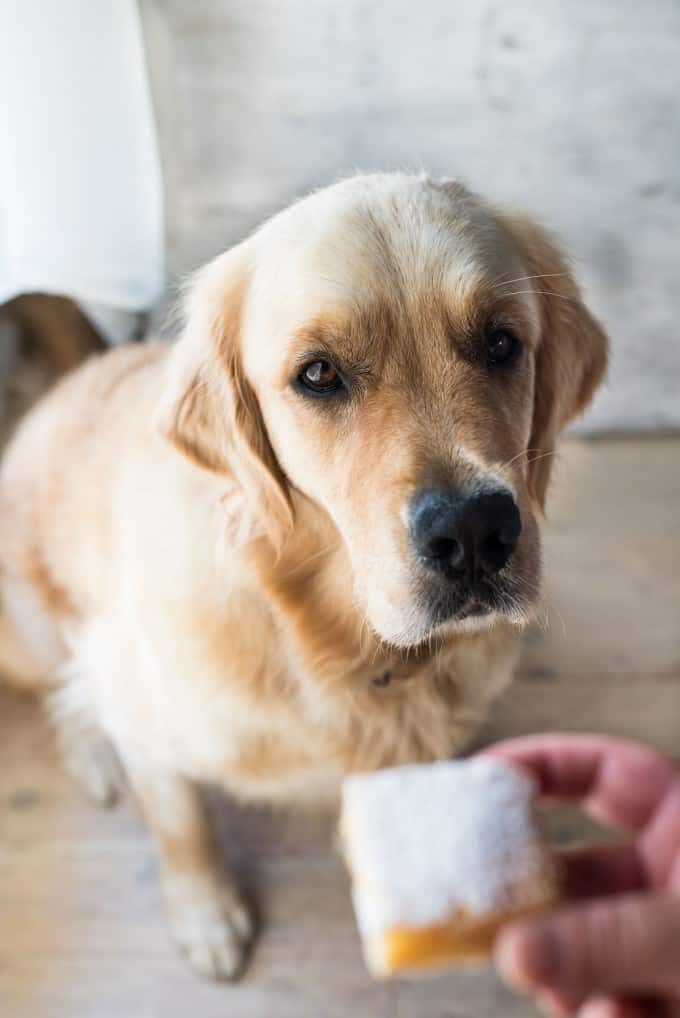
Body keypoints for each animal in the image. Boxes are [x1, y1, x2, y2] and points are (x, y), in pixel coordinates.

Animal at [0, 173, 606, 977]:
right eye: (318, 374)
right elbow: (179, 819)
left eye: (502, 342)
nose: (476, 532)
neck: (332, 639)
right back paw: (93, 748)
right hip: (29, 629)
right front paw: (206, 915)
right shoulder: (143, 701)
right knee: (66, 687)